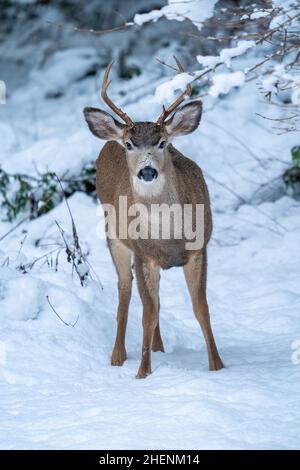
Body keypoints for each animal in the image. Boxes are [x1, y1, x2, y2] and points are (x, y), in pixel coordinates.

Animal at [83, 57, 224, 378]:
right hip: (114, 237)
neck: (169, 236)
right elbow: (146, 314)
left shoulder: (199, 249)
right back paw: (118, 355)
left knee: (156, 303)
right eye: (130, 145)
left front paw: (217, 366)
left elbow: (201, 308)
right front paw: (142, 374)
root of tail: (108, 139)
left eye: (162, 143)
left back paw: (157, 347)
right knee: (125, 289)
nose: (147, 171)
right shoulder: (142, 253)